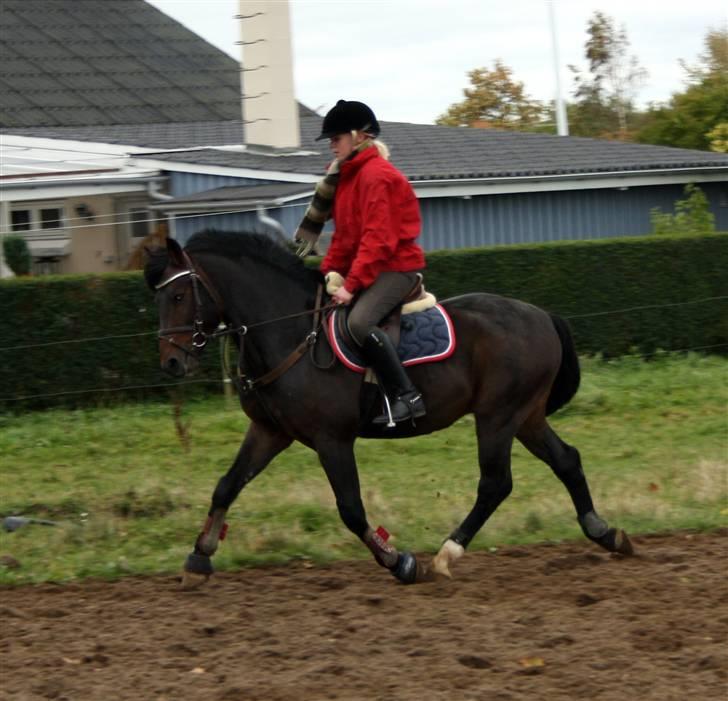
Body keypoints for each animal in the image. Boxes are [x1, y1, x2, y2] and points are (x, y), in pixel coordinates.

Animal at [145, 228, 636, 584]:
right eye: (159, 299)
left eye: (178, 296)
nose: (170, 362)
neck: (291, 333)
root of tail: (541, 315)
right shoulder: (270, 432)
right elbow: (226, 486)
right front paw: (199, 558)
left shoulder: (332, 440)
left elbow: (350, 508)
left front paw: (399, 561)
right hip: (525, 416)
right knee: (566, 460)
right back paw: (606, 533)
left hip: (498, 416)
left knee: (495, 483)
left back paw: (447, 554)